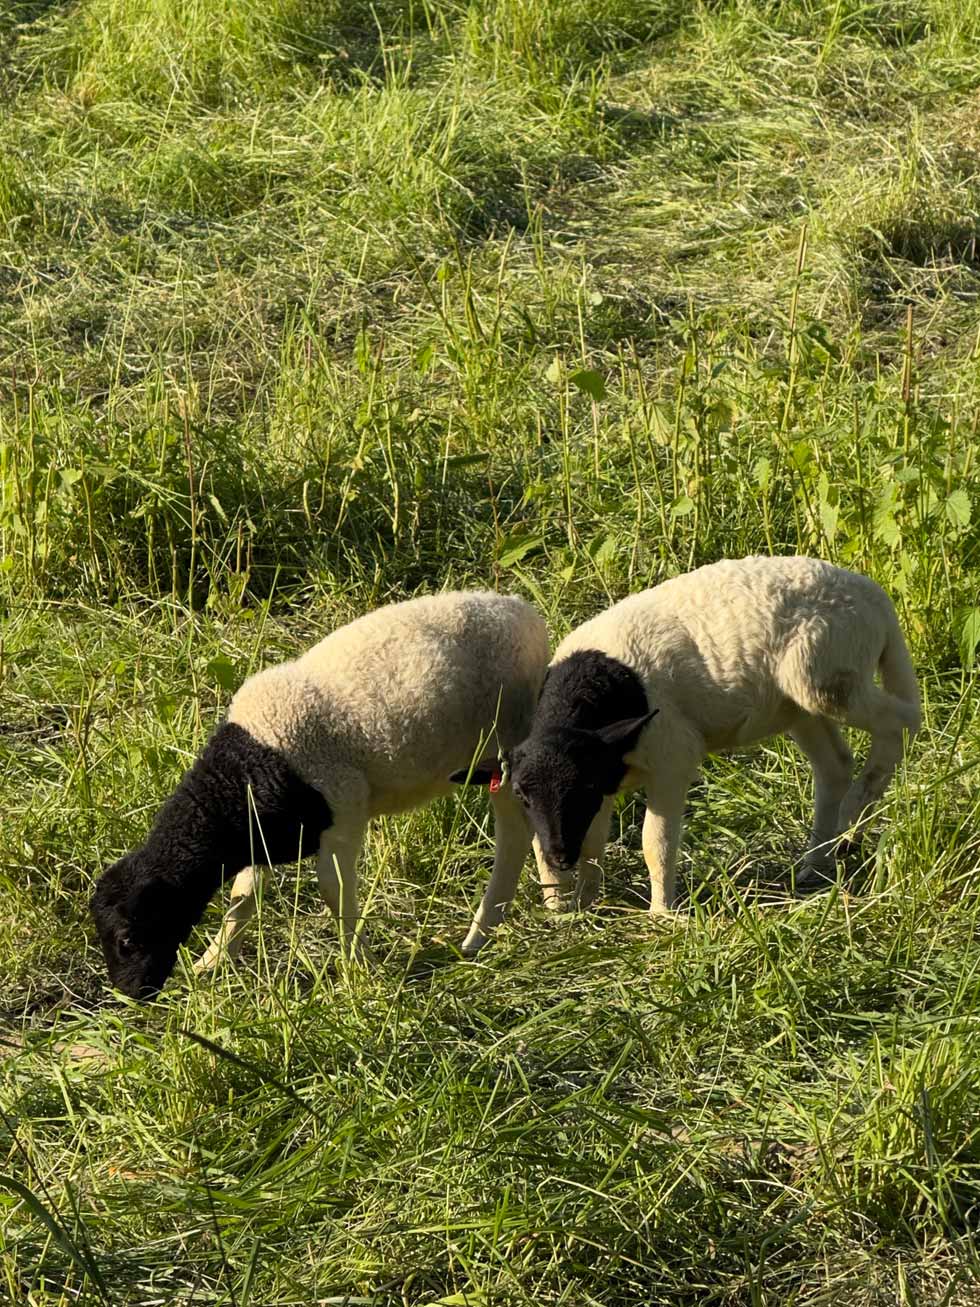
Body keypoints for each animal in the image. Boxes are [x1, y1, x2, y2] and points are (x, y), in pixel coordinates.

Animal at [90, 591, 549, 999]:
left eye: (128, 939)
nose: (130, 994)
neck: (243, 774)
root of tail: (520, 609)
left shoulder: (342, 814)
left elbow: (335, 892)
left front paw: (363, 970)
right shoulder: (262, 832)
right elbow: (245, 896)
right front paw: (213, 961)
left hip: (507, 743)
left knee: (515, 834)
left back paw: (486, 931)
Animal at [456, 557, 920, 919]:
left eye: (581, 785)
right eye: (522, 794)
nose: (557, 856)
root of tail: (875, 598)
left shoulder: (669, 758)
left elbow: (654, 841)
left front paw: (661, 913)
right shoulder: (607, 776)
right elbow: (592, 843)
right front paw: (585, 905)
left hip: (825, 677)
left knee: (901, 721)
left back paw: (855, 815)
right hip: (798, 703)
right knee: (835, 766)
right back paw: (816, 863)